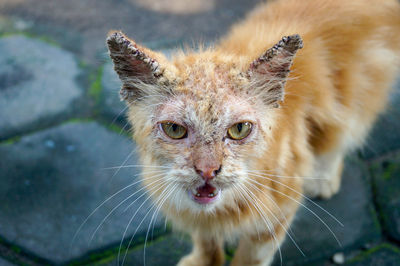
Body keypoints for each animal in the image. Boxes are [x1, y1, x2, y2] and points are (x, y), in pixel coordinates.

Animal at [106, 0, 400, 264]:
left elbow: (250, 257)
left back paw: (323, 177)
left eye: (239, 129)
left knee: (342, 134)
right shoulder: (198, 215)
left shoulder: (277, 213)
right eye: (175, 129)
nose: (207, 171)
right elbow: (206, 242)